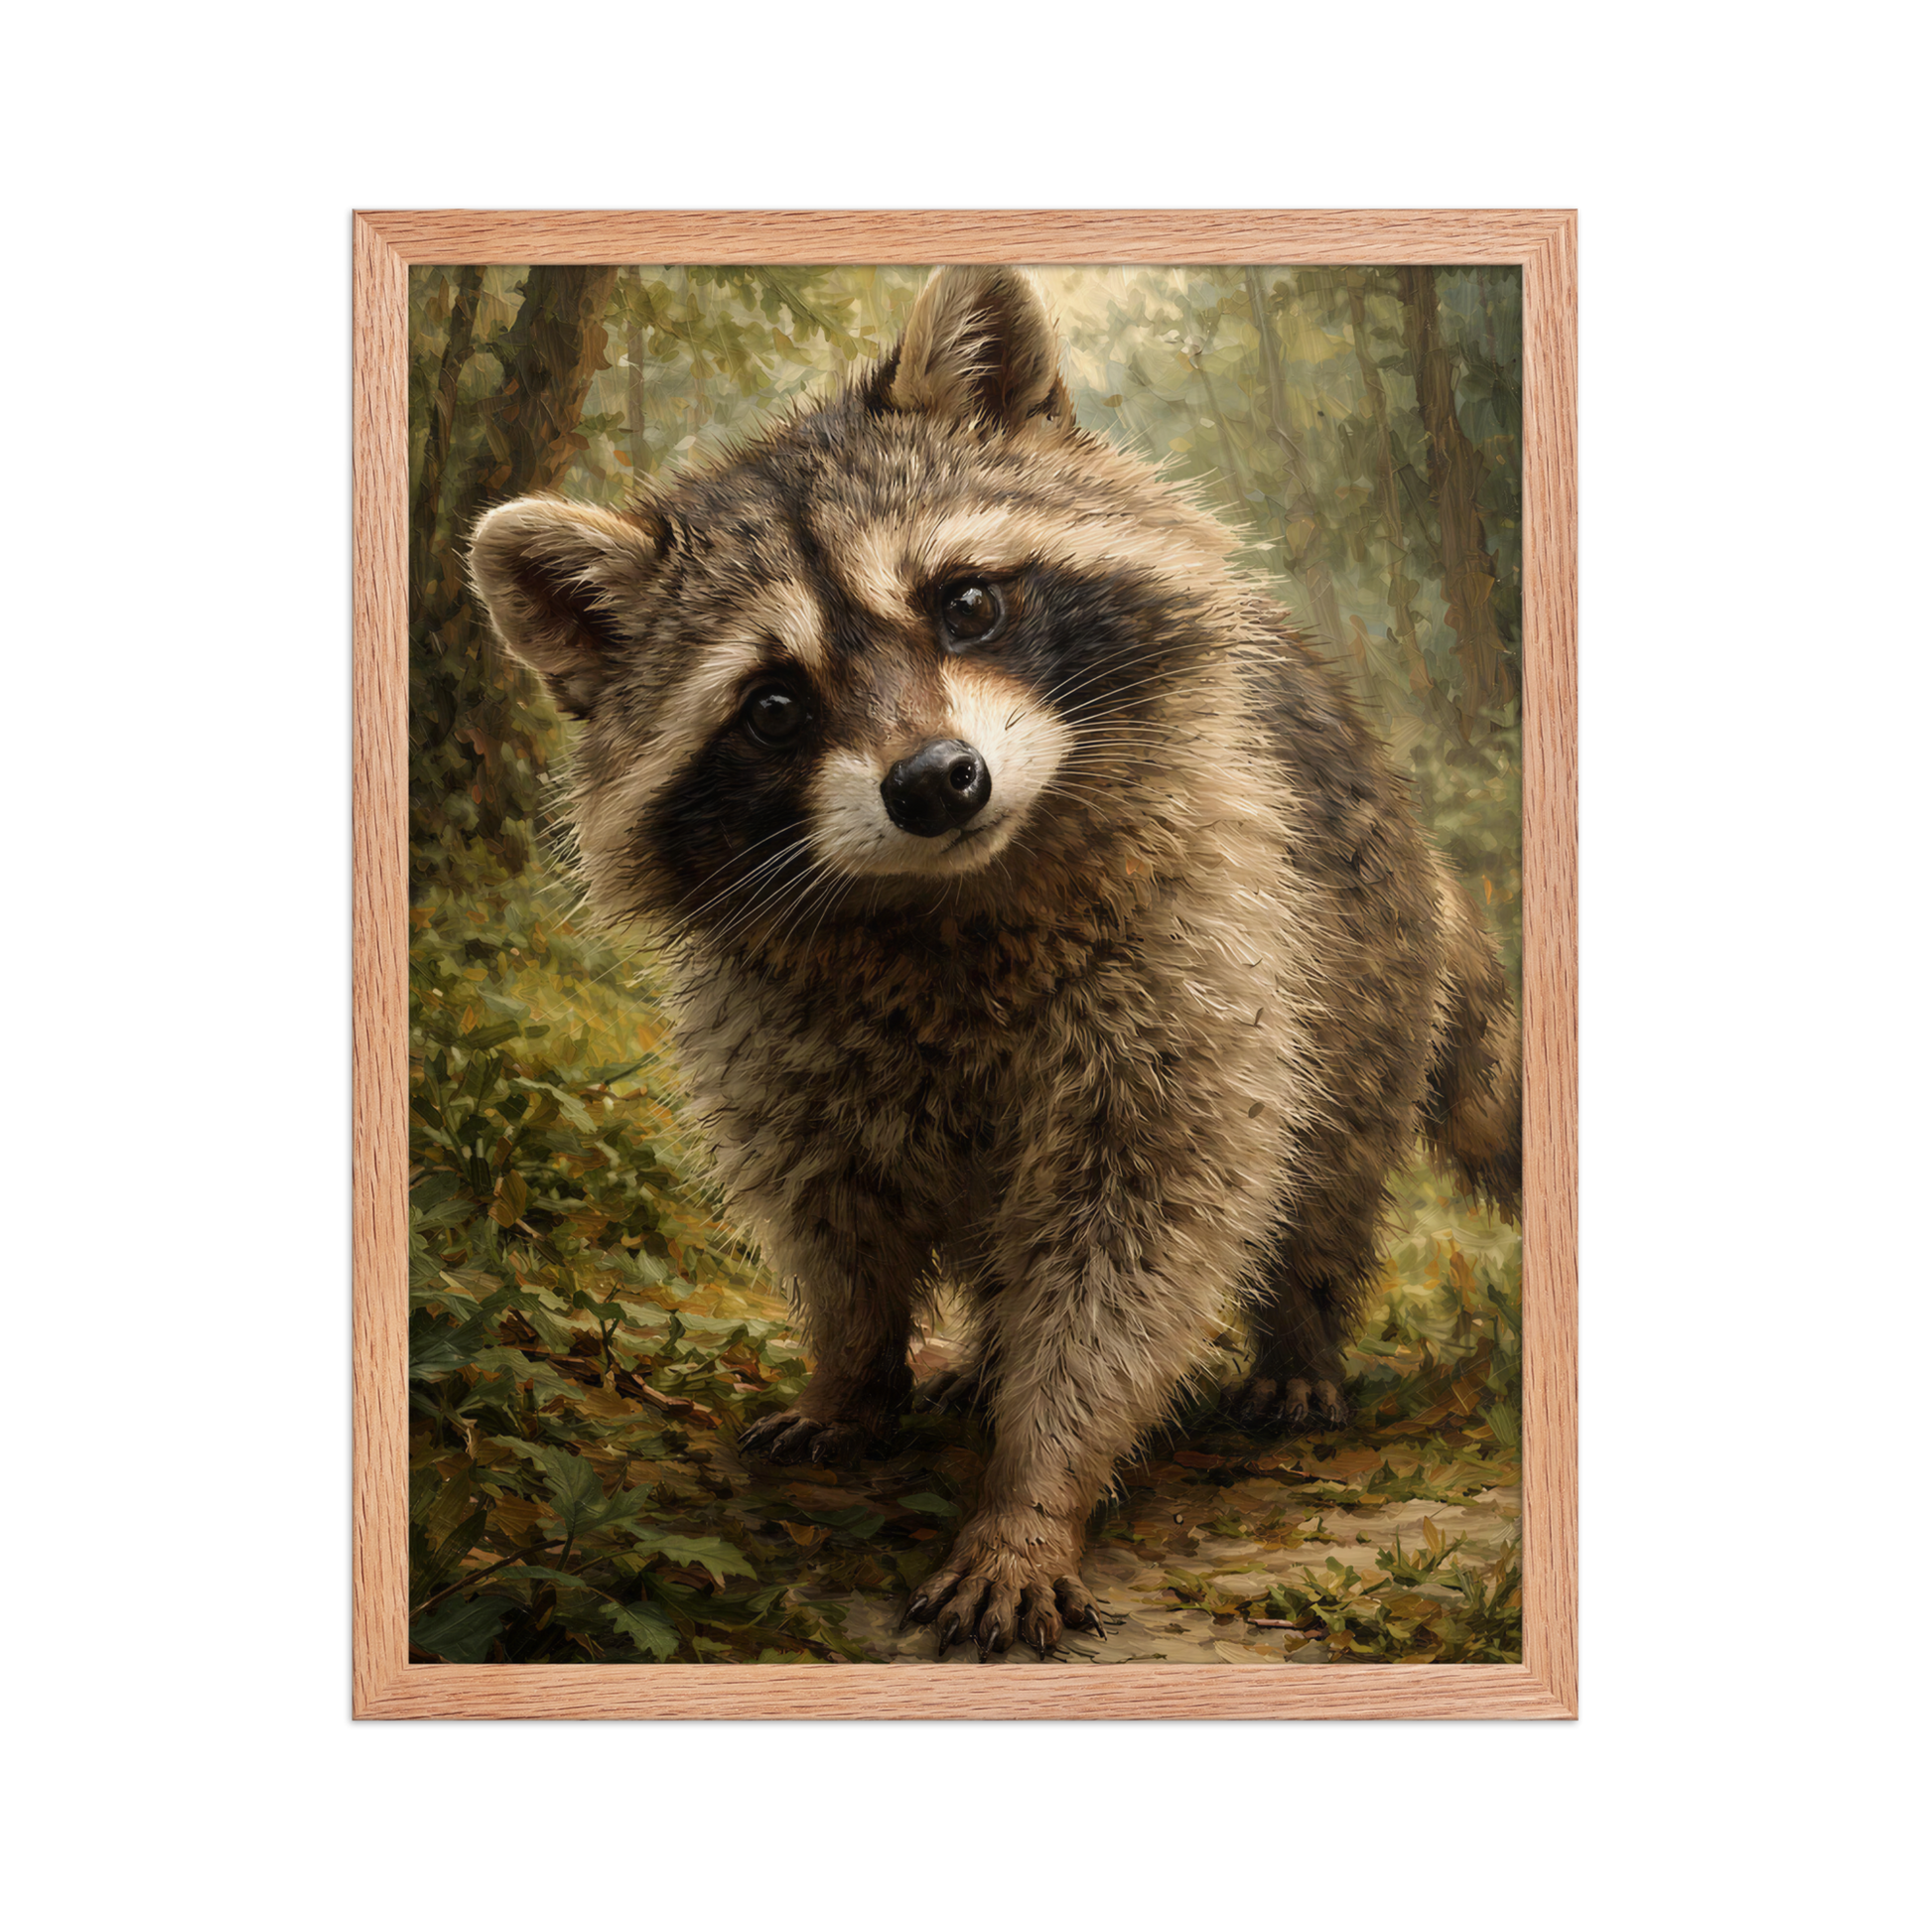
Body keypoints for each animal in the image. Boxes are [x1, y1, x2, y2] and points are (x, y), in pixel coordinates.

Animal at [469, 266, 1520, 1659]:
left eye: (964, 602)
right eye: (772, 705)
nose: (934, 781)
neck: (948, 899)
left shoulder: (1197, 956)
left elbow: (1135, 1242)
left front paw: (1034, 1487)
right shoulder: (771, 1027)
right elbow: (831, 1215)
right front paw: (852, 1370)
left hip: (1358, 960)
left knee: (1325, 1168)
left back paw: (1297, 1329)